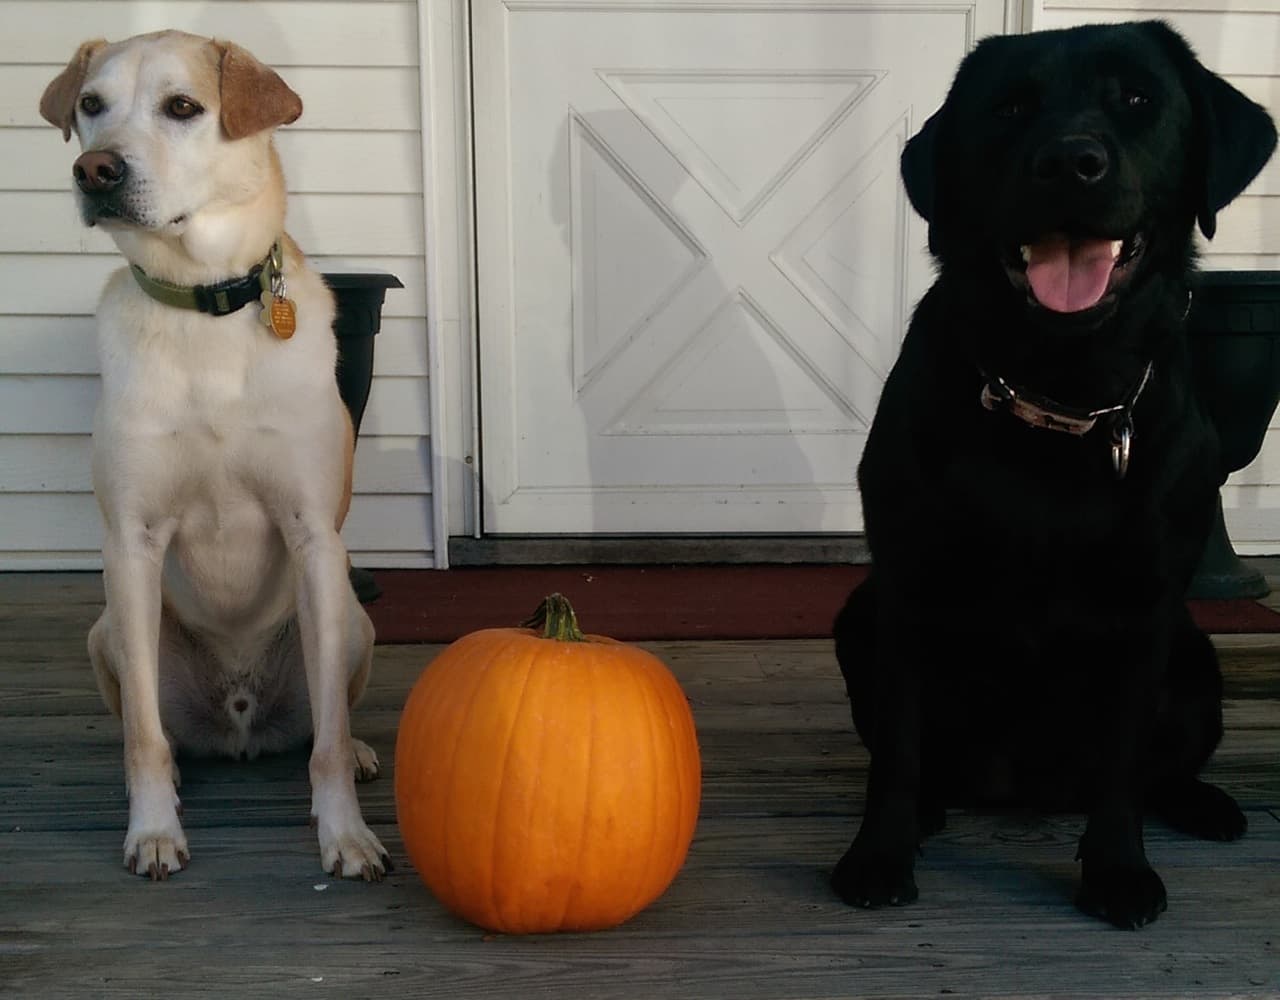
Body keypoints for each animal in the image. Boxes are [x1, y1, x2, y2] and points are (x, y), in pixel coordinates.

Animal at [834, 21, 1274, 927]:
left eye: (1138, 98)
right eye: (1008, 109)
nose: (1070, 162)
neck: (1059, 390)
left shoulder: (1146, 611)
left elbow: (1123, 762)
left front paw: (1117, 871)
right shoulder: (905, 589)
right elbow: (898, 746)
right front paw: (880, 854)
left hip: (1197, 657)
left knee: (1160, 767)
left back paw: (1204, 804)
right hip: (857, 617)